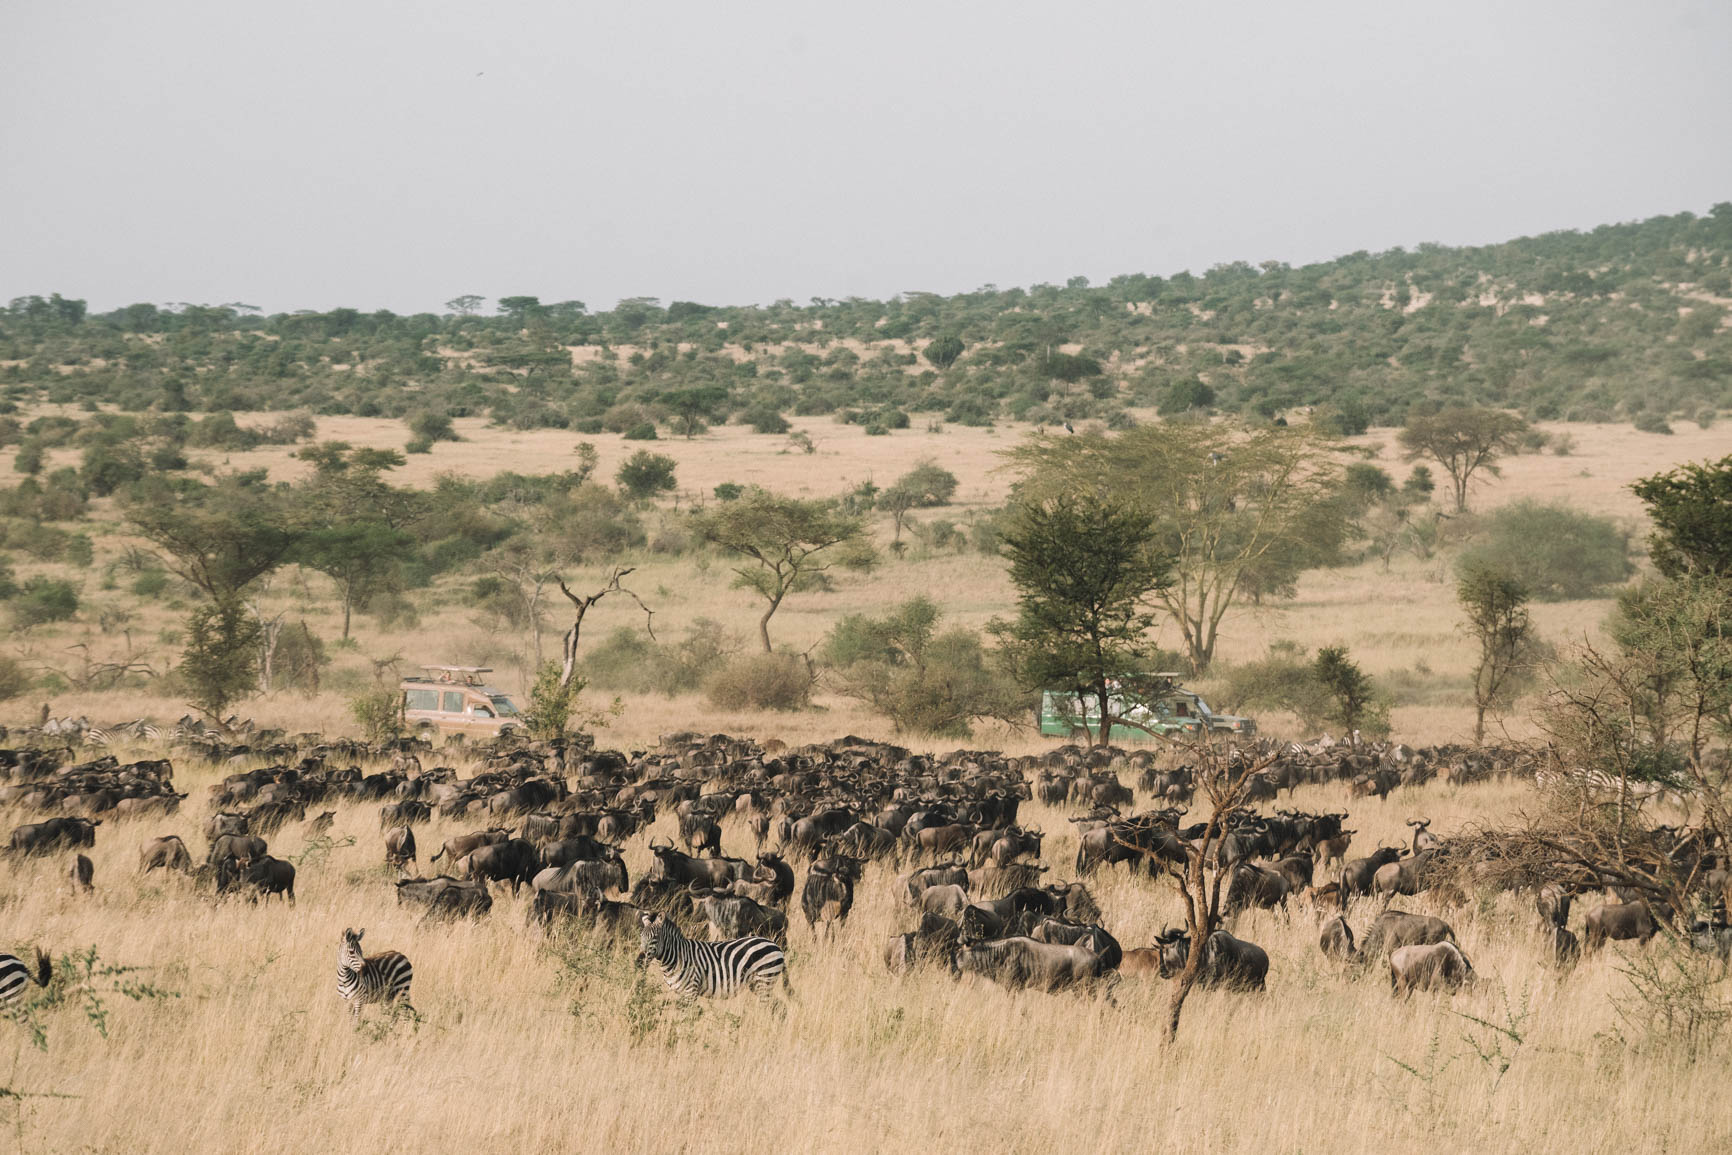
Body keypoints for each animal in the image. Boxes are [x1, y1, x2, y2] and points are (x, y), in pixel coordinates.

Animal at [637, 907, 786, 1004]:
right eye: (641, 936)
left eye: (655, 937)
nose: (640, 960)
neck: (677, 956)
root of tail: (775, 945)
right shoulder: (681, 993)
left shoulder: (691, 991)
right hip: (757, 984)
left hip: (765, 980)